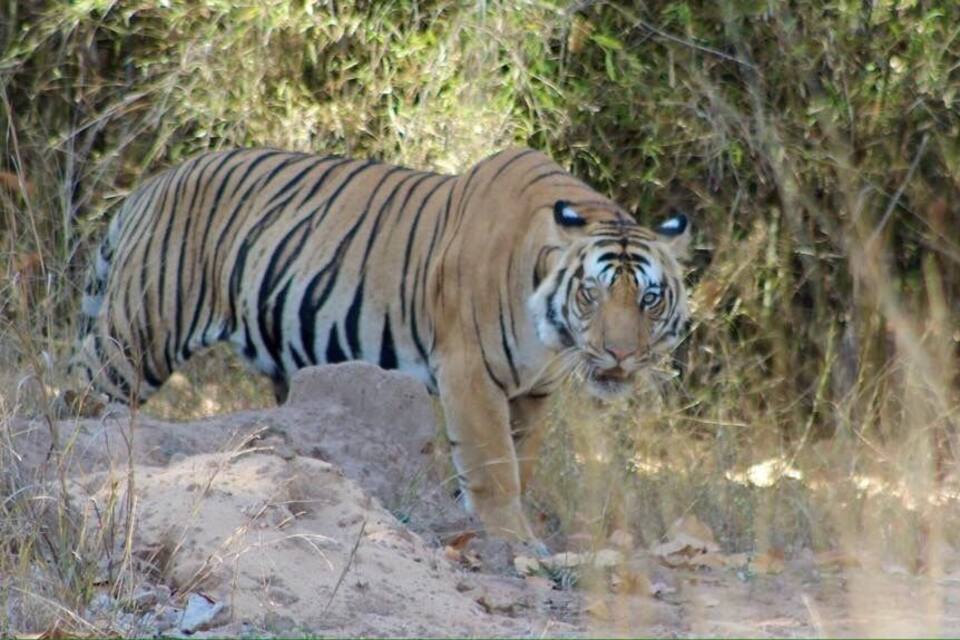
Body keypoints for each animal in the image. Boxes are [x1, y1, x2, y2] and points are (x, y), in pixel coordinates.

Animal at [71, 147, 691, 545]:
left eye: (648, 299)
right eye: (592, 293)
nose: (620, 355)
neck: (551, 334)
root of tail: (153, 184)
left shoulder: (533, 393)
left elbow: (522, 461)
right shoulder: (470, 374)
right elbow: (493, 465)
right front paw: (513, 539)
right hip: (135, 338)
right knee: (83, 402)